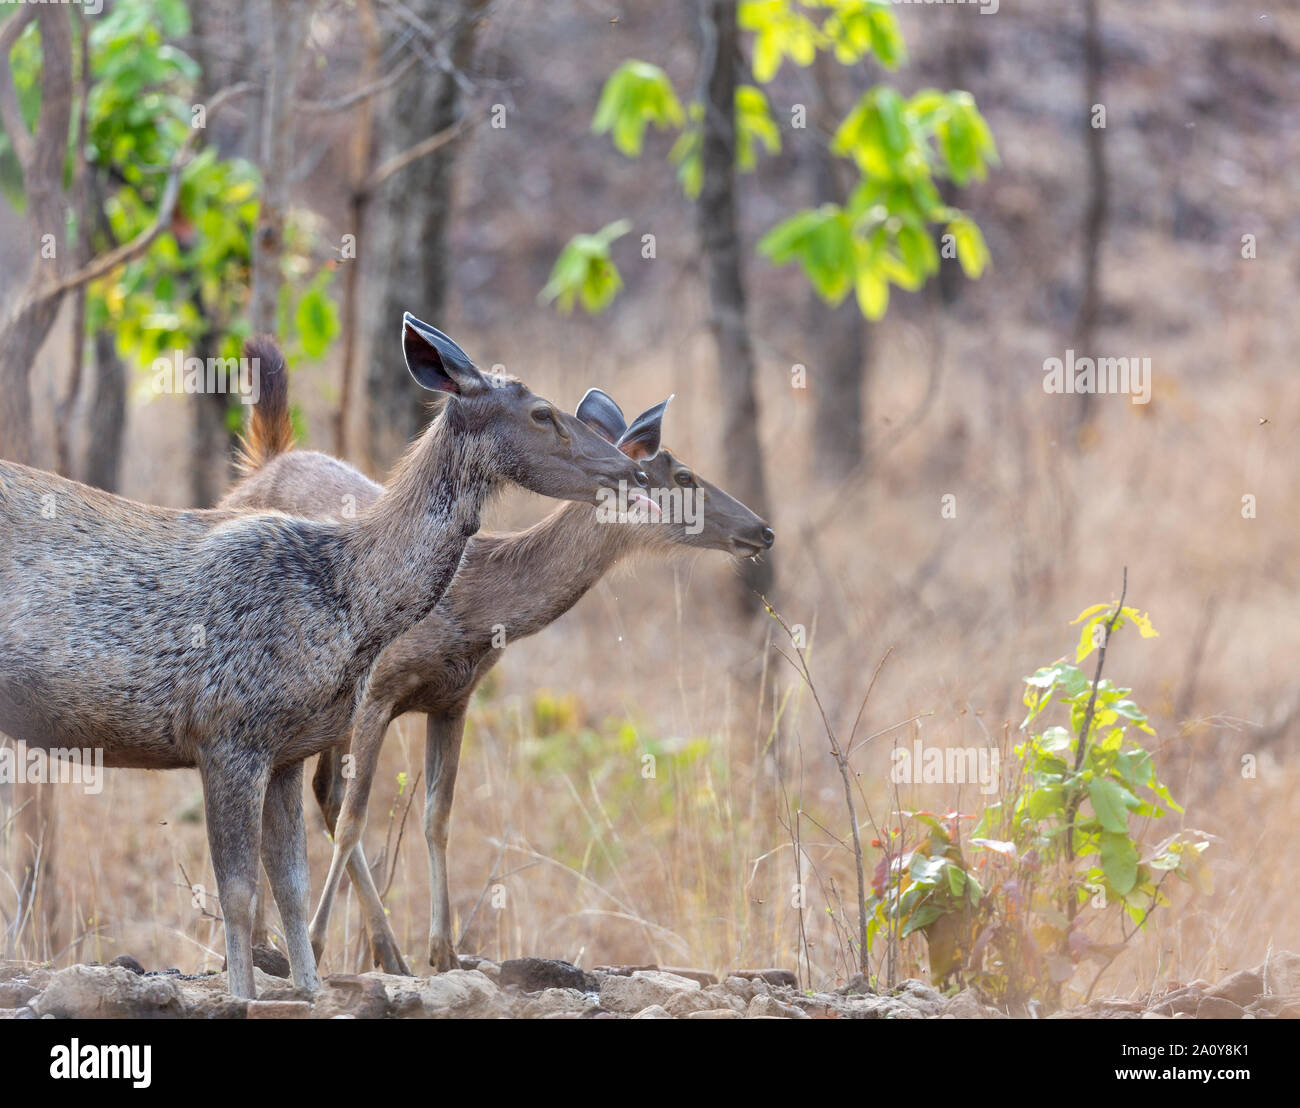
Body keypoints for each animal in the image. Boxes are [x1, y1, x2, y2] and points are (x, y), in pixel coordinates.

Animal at [0, 316, 647, 998]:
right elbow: (239, 893)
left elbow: (291, 885)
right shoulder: (226, 733)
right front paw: (244, 990)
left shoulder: (288, 749)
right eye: (543, 412)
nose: (633, 471)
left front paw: (309, 983)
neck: (350, 605)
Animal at [227, 384, 769, 972]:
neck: (474, 607)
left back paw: (373, 949)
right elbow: (354, 817)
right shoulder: (376, 692)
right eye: (685, 475)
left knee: (312, 789)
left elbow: (437, 817)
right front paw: (322, 943)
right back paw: (279, 944)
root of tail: (259, 464)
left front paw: (444, 950)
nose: (762, 530)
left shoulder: (455, 700)